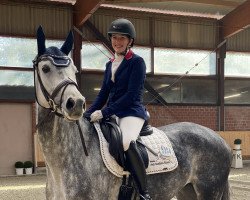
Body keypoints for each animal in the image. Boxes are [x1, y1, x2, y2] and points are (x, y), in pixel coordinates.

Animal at [33, 25, 232, 199]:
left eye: (74, 70)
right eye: (45, 68)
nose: (76, 104)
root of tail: (220, 139)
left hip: (209, 190)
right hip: (186, 191)